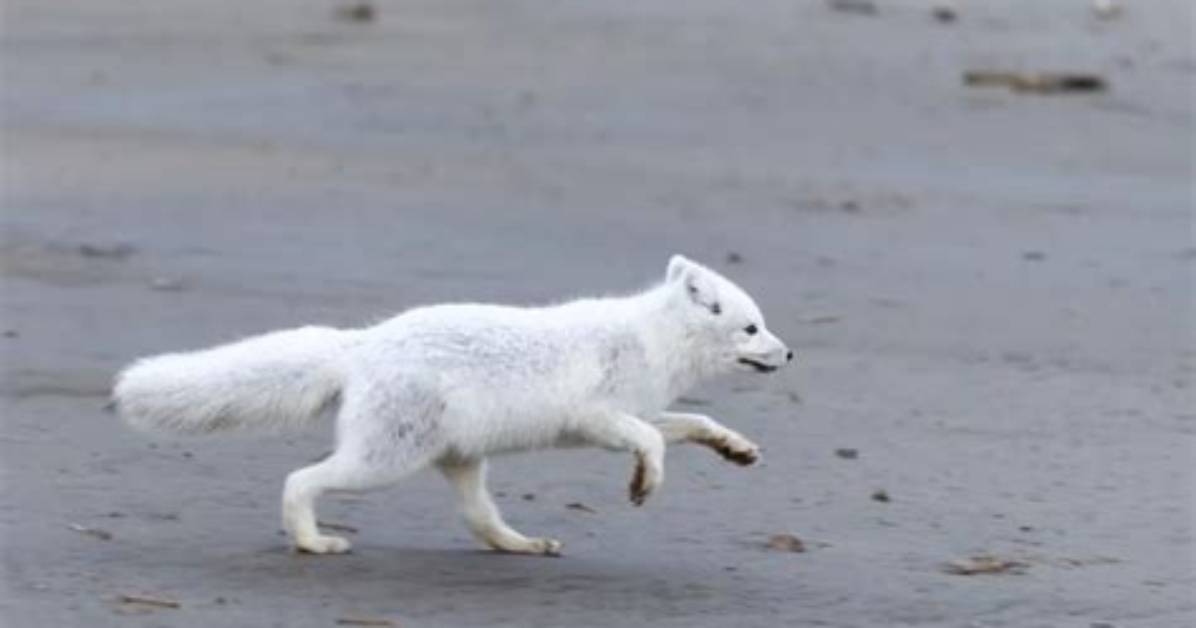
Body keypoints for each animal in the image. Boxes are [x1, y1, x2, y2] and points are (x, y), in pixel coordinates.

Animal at [113, 255, 793, 556]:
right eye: (752, 328)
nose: (789, 354)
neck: (651, 339)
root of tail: (363, 343)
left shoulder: (639, 412)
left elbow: (694, 421)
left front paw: (736, 449)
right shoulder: (596, 418)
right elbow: (652, 442)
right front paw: (644, 483)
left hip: (459, 460)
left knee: (479, 521)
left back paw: (523, 545)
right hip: (382, 461)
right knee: (299, 479)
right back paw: (312, 542)